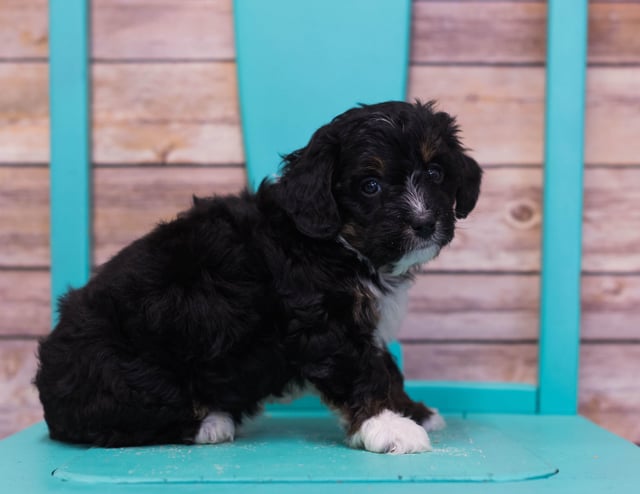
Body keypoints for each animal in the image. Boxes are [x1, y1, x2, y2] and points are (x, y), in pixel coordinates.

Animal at [35, 100, 480, 456]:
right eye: (370, 186)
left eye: (436, 172)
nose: (424, 223)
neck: (340, 245)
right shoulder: (322, 323)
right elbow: (360, 371)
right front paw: (388, 426)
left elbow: (386, 366)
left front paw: (413, 411)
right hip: (124, 369)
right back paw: (211, 421)